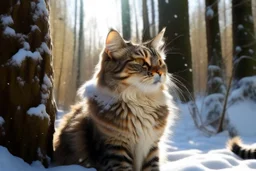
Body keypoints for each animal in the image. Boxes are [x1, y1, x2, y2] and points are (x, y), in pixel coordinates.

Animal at [53, 28, 177, 171]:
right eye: (140, 62)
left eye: (160, 62)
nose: (161, 73)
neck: (140, 101)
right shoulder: (115, 150)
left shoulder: (151, 147)